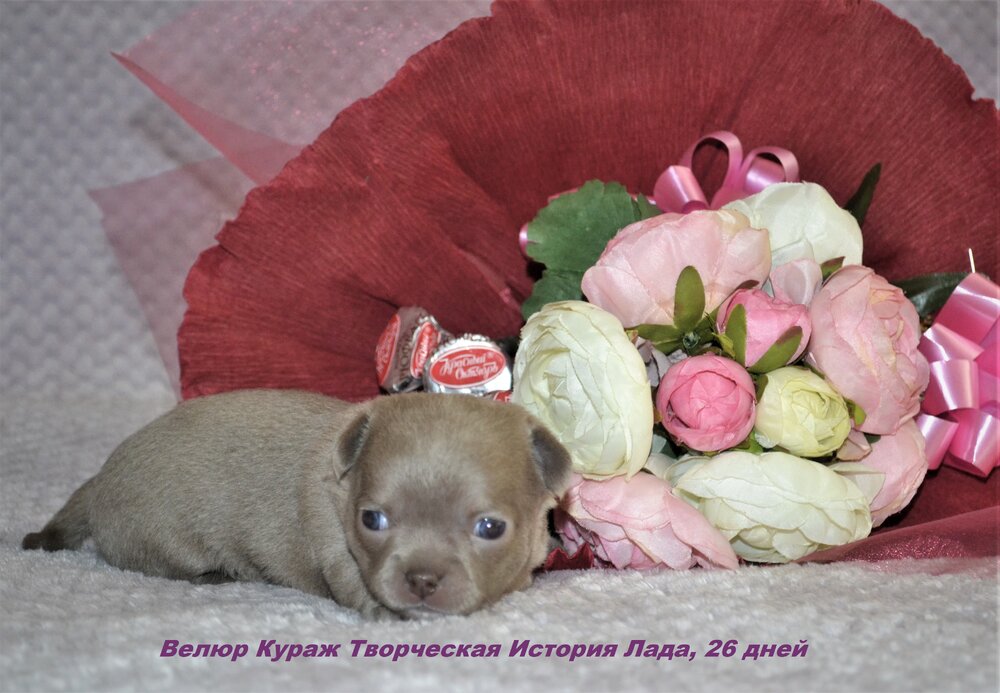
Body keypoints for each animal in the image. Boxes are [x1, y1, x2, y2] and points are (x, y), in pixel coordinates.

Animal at [22, 389, 571, 618]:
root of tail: (100, 479)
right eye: (372, 519)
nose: (421, 580)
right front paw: (386, 613)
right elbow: (355, 581)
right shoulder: (335, 545)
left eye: (490, 529)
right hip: (163, 541)